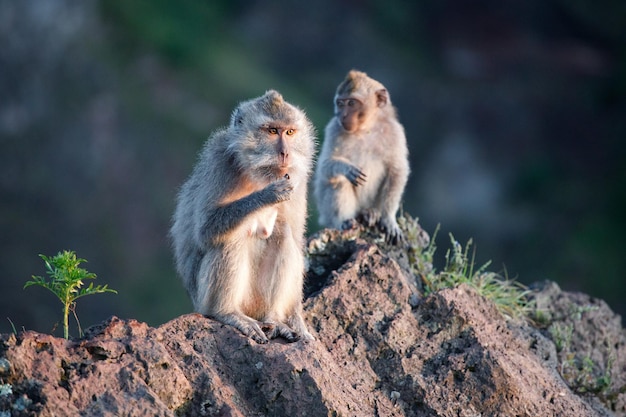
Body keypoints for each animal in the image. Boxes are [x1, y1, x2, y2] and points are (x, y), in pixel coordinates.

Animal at [169, 89, 314, 342]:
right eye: (272, 131)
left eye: (290, 132)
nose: (285, 153)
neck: (253, 170)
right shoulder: (219, 161)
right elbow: (207, 230)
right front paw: (268, 194)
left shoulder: (298, 180)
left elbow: (296, 239)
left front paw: (297, 320)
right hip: (206, 300)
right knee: (230, 238)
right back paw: (227, 313)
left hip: (257, 302)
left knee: (283, 232)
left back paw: (274, 319)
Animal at [312, 68, 410, 244]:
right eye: (340, 103)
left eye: (351, 103)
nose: (342, 115)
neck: (366, 129)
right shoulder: (334, 128)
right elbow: (324, 167)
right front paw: (345, 168)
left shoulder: (396, 132)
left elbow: (397, 171)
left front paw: (389, 219)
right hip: (327, 214)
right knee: (339, 181)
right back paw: (345, 221)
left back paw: (371, 213)